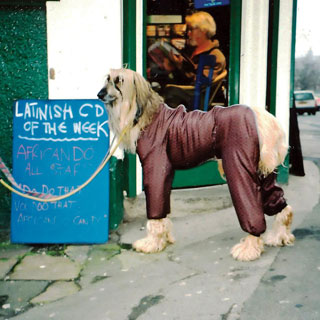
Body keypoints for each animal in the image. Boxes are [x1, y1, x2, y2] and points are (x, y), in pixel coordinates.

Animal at [98, 69, 296, 262]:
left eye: (119, 81)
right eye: (107, 78)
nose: (99, 95)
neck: (149, 114)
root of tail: (259, 116)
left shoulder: (155, 165)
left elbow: (155, 212)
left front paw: (152, 242)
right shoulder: (165, 170)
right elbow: (163, 207)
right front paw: (164, 237)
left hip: (239, 163)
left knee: (251, 207)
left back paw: (249, 248)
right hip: (263, 170)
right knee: (279, 202)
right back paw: (279, 236)